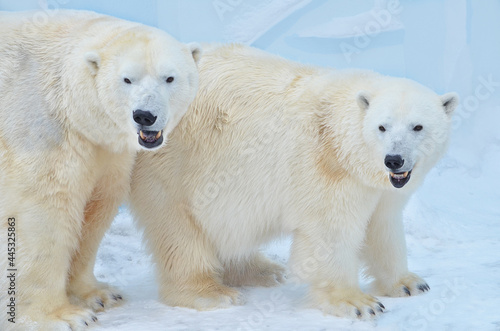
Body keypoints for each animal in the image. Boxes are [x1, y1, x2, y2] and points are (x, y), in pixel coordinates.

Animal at [0, 9, 199, 330]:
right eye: (127, 79)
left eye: (169, 77)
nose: (145, 115)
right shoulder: (43, 133)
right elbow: (44, 217)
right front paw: (61, 316)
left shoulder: (104, 151)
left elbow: (96, 207)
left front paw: (100, 295)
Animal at [129, 43, 458, 320]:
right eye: (382, 127)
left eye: (418, 127)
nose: (394, 159)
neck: (341, 141)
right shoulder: (327, 170)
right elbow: (331, 233)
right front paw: (357, 302)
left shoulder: (380, 188)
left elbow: (382, 227)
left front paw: (409, 283)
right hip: (176, 165)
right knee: (179, 230)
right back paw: (212, 292)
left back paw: (262, 270)